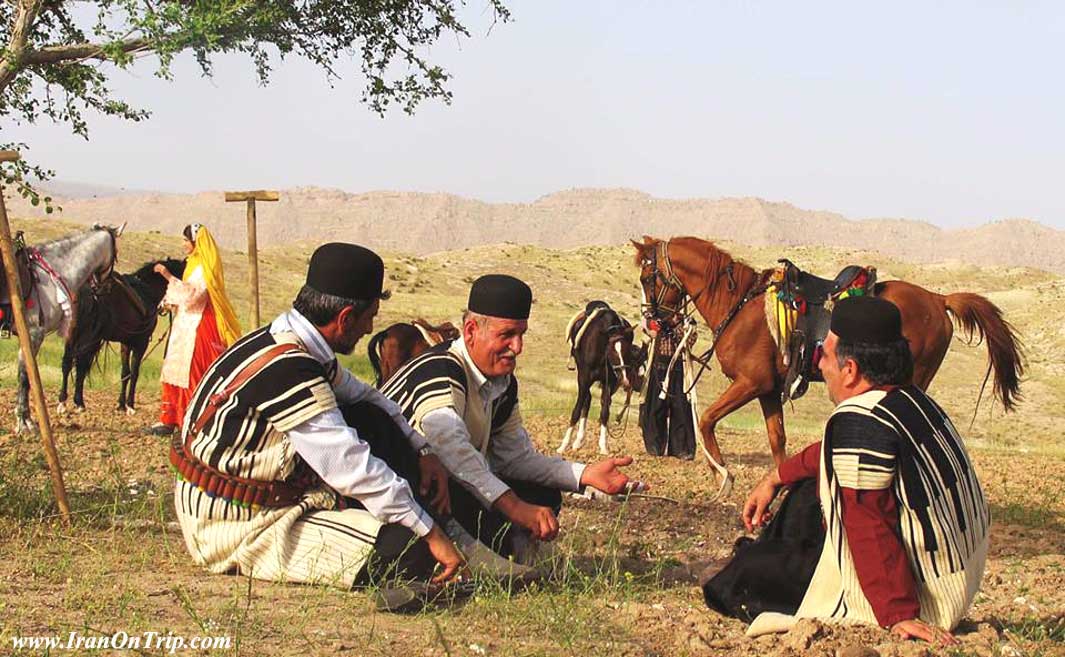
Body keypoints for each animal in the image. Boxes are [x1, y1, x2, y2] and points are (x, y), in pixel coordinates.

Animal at [12, 222, 124, 432]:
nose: (106, 288)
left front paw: (25, 418)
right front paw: (24, 421)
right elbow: (25, 376)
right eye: (115, 254)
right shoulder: (33, 334)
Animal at [630, 233, 1022, 494]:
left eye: (648, 278)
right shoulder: (769, 390)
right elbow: (777, 440)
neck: (738, 304)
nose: (652, 321)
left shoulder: (750, 383)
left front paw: (722, 475)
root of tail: (938, 299)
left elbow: (707, 420)